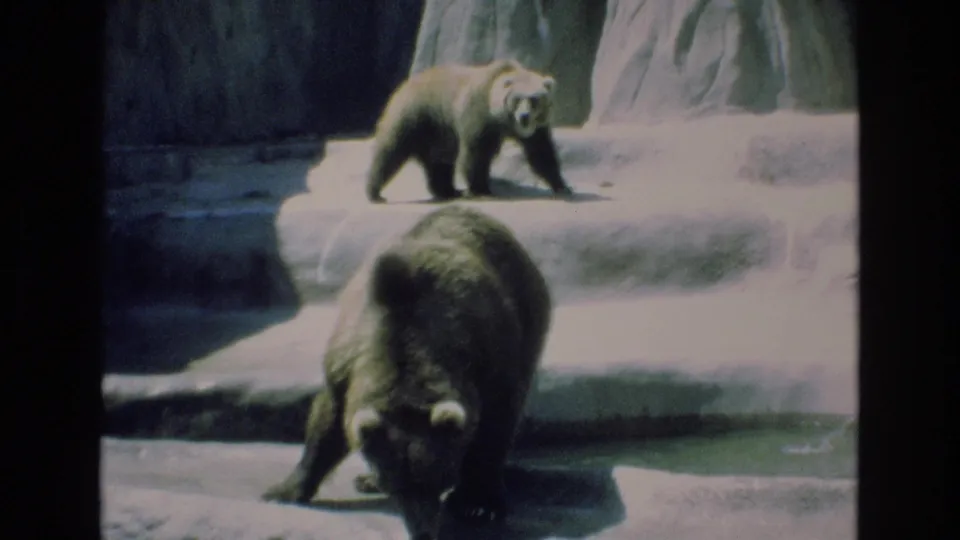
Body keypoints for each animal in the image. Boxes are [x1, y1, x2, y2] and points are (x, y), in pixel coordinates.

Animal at [261, 204, 553, 540]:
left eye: (438, 478)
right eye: (396, 486)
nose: (422, 532)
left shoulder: (491, 355)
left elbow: (496, 424)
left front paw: (479, 502)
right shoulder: (345, 363)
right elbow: (327, 423)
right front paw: (283, 490)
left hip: (529, 311)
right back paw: (363, 481)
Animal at [365, 59, 574, 203]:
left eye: (534, 99)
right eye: (517, 98)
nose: (524, 116)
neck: (501, 119)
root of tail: (405, 84)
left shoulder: (536, 130)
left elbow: (542, 152)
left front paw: (563, 186)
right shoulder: (478, 114)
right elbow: (475, 153)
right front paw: (480, 190)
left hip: (438, 134)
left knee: (439, 163)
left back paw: (449, 191)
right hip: (417, 116)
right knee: (390, 151)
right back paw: (375, 192)